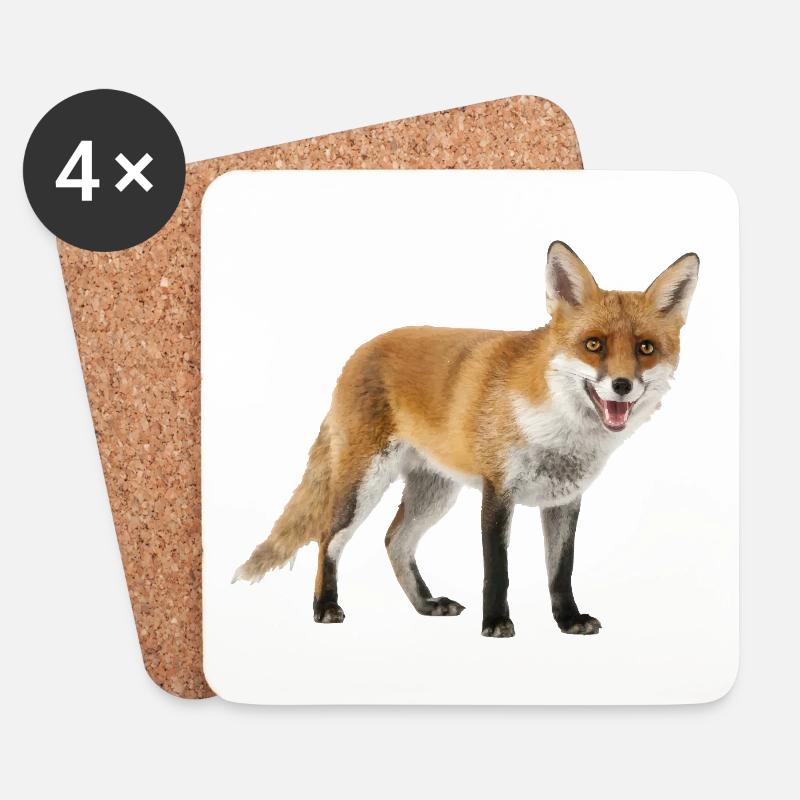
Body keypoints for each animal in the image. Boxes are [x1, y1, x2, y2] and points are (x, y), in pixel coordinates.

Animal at [233, 241, 699, 637]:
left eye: (645, 348)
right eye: (594, 344)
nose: (622, 386)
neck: (559, 431)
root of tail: (360, 350)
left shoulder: (565, 499)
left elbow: (560, 570)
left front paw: (568, 620)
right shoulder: (497, 491)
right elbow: (497, 570)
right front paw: (495, 623)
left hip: (435, 493)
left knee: (394, 541)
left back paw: (425, 605)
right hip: (363, 486)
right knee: (328, 540)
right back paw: (325, 606)